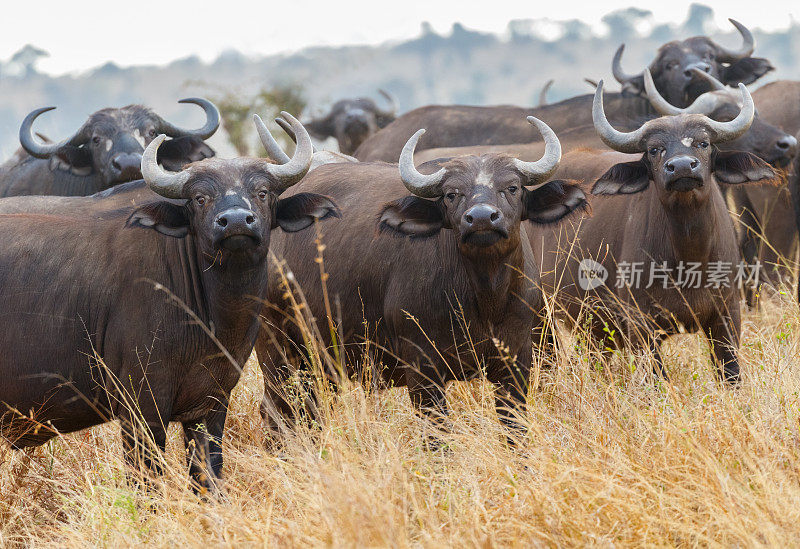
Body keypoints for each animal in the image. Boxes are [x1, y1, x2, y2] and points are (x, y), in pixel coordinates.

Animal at [0, 113, 338, 490]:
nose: (236, 221)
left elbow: (209, 479)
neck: (211, 317)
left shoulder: (211, 406)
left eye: (262, 192)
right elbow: (146, 483)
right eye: (200, 198)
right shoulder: (141, 409)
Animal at [256, 116, 588, 446]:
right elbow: (437, 439)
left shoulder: (516, 363)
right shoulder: (423, 371)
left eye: (513, 187)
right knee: (277, 410)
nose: (482, 218)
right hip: (277, 350)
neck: (484, 297)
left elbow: (515, 432)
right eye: (452, 194)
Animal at [528, 81, 780, 384]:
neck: (688, 259)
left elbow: (730, 373)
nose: (681, 167)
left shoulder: (727, 314)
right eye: (654, 149)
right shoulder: (640, 325)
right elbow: (656, 379)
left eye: (703, 143)